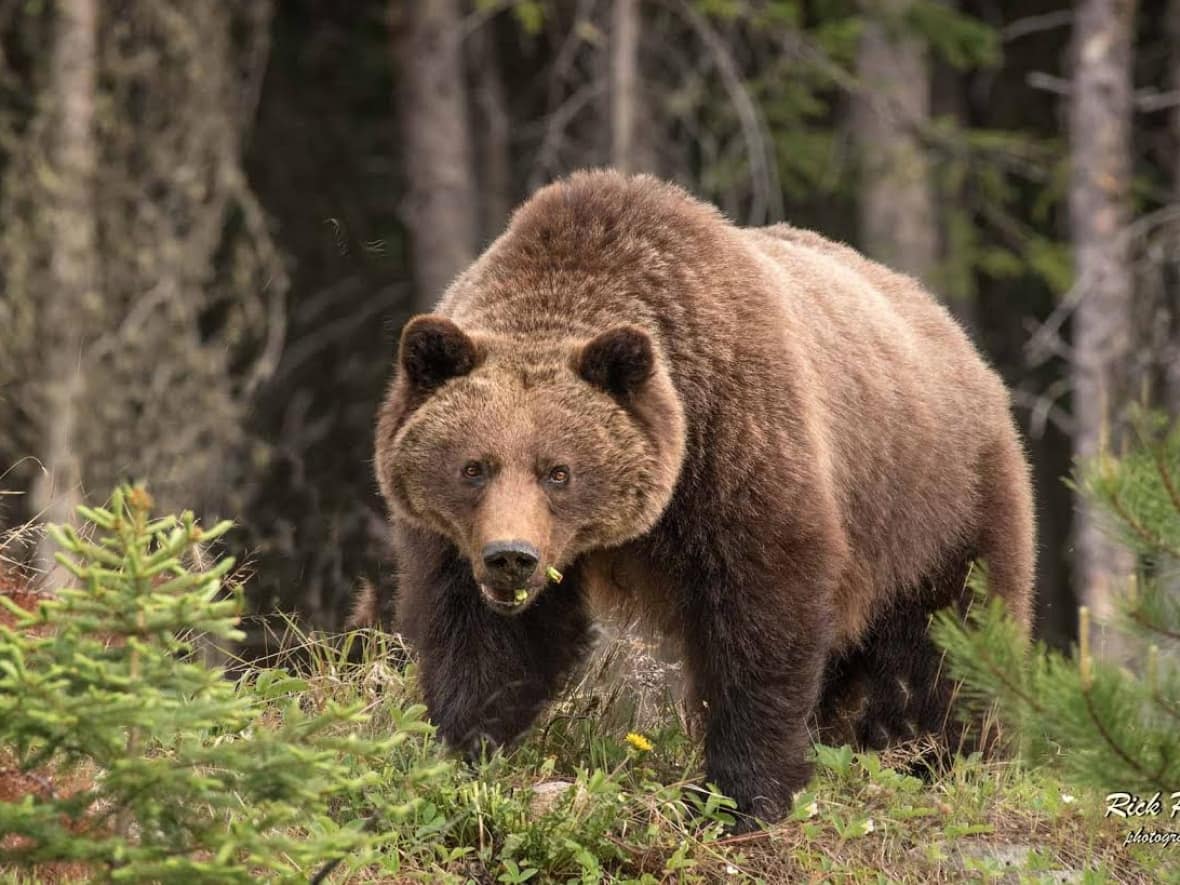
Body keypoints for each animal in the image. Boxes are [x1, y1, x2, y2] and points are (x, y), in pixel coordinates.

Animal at [365, 171, 1033, 825]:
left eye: (558, 471)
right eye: (473, 467)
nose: (511, 556)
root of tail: (957, 335)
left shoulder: (736, 448)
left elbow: (761, 617)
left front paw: (741, 794)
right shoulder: (462, 543)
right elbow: (486, 639)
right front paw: (460, 750)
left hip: (939, 502)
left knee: (951, 641)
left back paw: (946, 760)